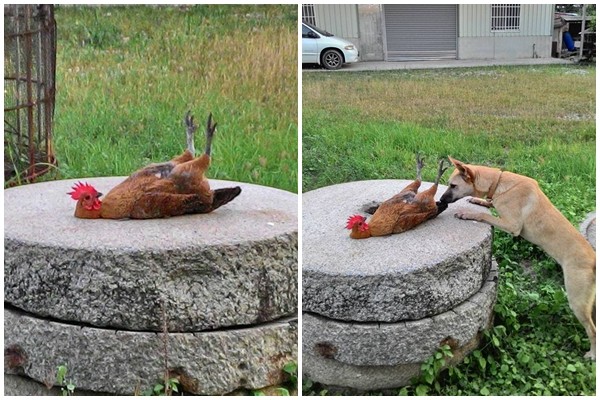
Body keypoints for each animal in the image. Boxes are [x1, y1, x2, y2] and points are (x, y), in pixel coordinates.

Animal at [438, 156, 596, 360]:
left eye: (453, 185)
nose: (440, 200)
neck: (498, 183)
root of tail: (593, 260)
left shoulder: (512, 226)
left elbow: (483, 215)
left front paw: (467, 213)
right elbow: (487, 203)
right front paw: (477, 199)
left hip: (577, 300)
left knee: (592, 330)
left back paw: (592, 354)